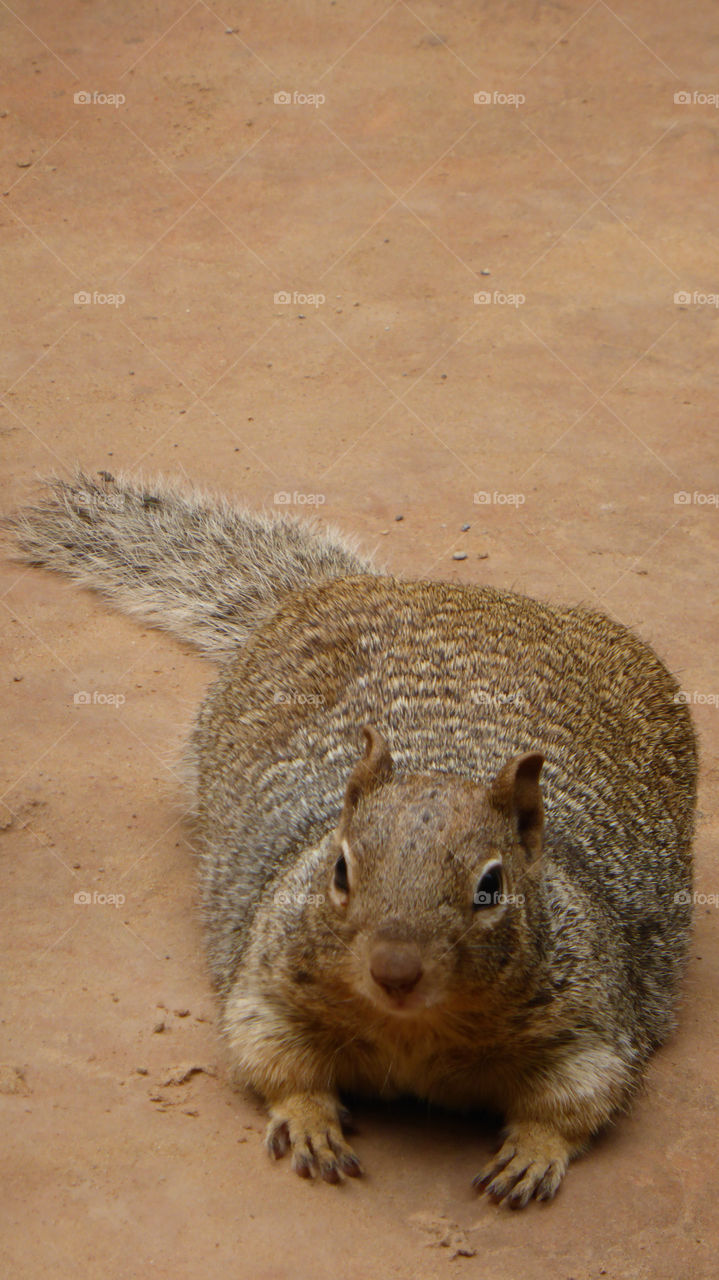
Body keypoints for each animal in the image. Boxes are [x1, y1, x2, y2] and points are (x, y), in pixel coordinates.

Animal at [6, 468, 695, 1198]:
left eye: (491, 887)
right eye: (339, 870)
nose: (394, 971)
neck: (412, 1028)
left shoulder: (591, 1022)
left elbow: (577, 1099)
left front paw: (531, 1156)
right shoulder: (266, 979)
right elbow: (272, 1059)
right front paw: (310, 1123)